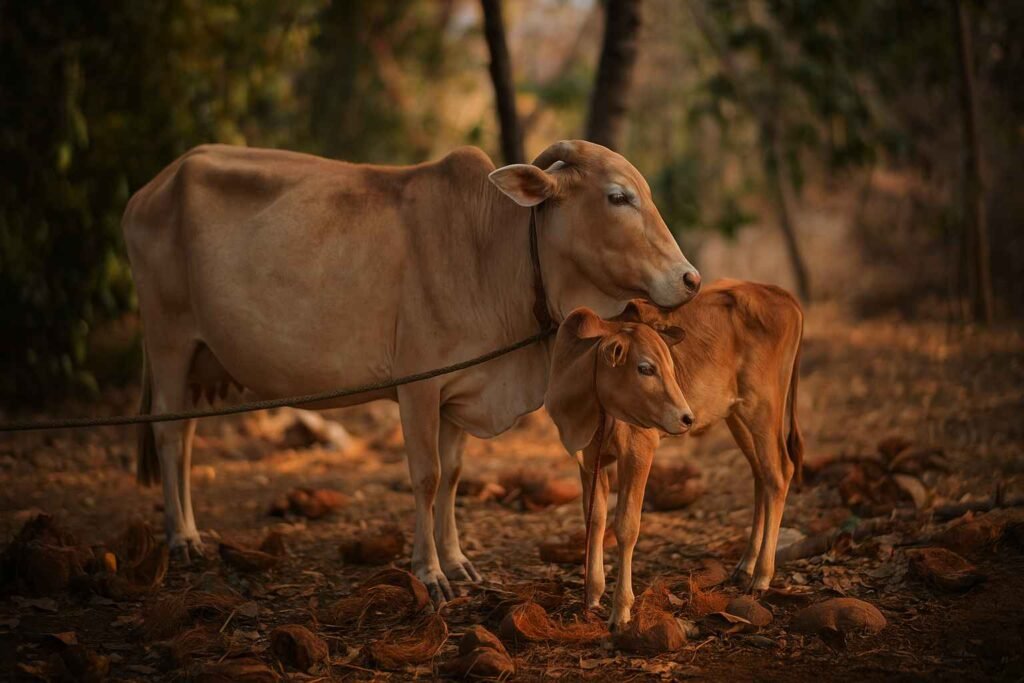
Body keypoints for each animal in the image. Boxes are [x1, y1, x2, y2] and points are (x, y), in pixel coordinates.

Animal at [122, 140, 700, 603]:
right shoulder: (419, 386)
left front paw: (459, 561)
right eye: (618, 196)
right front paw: (429, 572)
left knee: (186, 437)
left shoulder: (458, 394)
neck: (490, 252)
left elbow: (453, 475)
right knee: (169, 435)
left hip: (196, 359)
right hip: (169, 340)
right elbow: (427, 477)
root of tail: (153, 187)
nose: (690, 278)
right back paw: (183, 538)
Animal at [552, 280, 803, 629]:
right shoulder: (590, 458)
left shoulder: (639, 448)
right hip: (737, 416)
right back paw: (746, 565)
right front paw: (592, 595)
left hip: (763, 408)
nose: (687, 418)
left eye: (670, 366)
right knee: (761, 476)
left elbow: (626, 525)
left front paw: (621, 610)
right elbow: (595, 519)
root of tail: (778, 292)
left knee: (779, 474)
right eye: (645, 368)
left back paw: (763, 576)